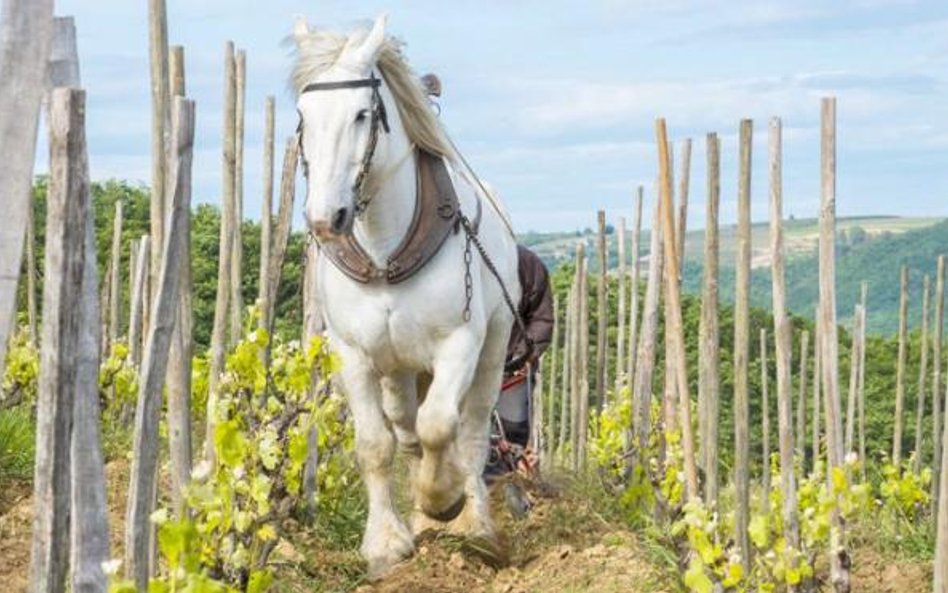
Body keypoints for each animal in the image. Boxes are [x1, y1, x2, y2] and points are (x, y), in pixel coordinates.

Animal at [292, 15, 524, 580]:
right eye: (303, 116)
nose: (325, 219)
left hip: (492, 349)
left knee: (472, 427)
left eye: (361, 114)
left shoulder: (459, 342)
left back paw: (473, 524)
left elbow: (442, 426)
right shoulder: (351, 353)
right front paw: (386, 543)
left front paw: (444, 501)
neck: (384, 255)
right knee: (405, 425)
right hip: (396, 367)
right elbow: (376, 445)